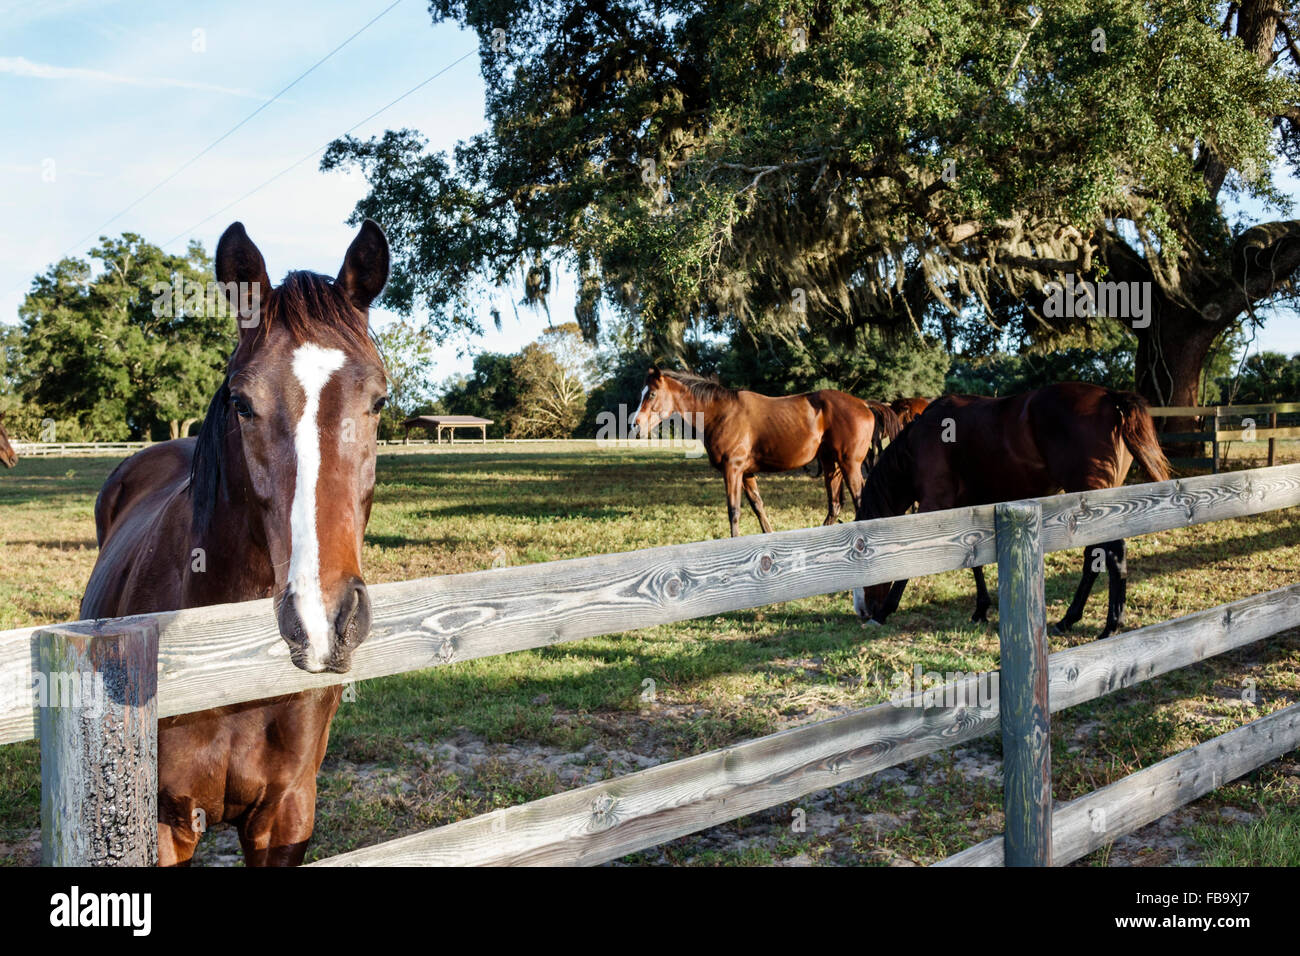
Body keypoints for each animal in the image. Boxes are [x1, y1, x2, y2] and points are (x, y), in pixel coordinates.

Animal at [631, 366, 899, 535]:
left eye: (651, 394)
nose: (635, 424)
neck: (722, 413)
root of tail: (864, 404)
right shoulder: (747, 474)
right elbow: (758, 507)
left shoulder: (732, 470)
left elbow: (734, 511)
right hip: (832, 466)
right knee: (834, 505)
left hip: (850, 465)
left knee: (858, 501)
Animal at [852, 382, 1170, 642]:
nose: (862, 610)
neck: (922, 440)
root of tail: (1109, 397)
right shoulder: (965, 508)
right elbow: (975, 562)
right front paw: (981, 609)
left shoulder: (934, 506)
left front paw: (884, 613)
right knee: (1095, 557)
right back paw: (1068, 620)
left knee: (1113, 555)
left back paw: (1110, 626)